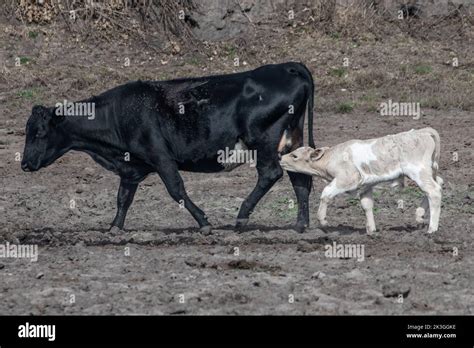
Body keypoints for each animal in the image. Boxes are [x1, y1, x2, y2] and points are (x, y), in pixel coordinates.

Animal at [23, 62, 318, 234]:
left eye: (39, 132)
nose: (24, 164)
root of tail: (288, 67)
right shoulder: (131, 167)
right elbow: (123, 197)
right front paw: (114, 228)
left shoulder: (160, 157)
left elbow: (176, 190)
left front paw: (204, 223)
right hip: (291, 139)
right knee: (298, 177)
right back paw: (301, 224)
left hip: (263, 140)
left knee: (270, 174)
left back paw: (242, 217)